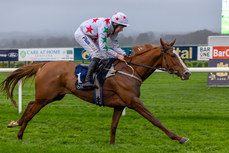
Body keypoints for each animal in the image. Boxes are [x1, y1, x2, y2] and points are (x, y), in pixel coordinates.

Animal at [0, 38, 191, 145]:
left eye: (178, 54)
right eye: (173, 56)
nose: (187, 73)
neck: (131, 71)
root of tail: (44, 64)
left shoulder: (120, 105)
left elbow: (113, 127)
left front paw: (112, 146)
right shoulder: (133, 101)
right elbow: (155, 120)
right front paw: (179, 137)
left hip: (54, 96)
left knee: (31, 104)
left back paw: (16, 125)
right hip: (46, 96)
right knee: (32, 111)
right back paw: (19, 133)